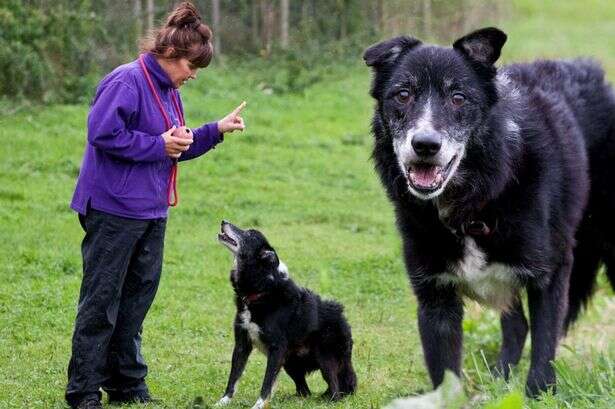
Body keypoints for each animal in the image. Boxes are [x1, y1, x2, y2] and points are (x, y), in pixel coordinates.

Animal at [214, 222, 356, 406]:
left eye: (249, 234)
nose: (223, 221)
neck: (262, 289)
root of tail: (344, 321)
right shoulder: (242, 344)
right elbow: (233, 378)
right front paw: (223, 402)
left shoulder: (277, 349)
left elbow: (267, 382)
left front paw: (259, 405)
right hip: (290, 362)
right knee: (305, 391)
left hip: (325, 358)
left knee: (336, 389)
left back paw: (327, 401)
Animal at [364, 27, 615, 396]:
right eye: (403, 94)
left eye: (458, 98)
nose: (425, 145)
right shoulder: (434, 294)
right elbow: (445, 371)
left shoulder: (552, 272)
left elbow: (545, 345)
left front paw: (538, 394)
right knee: (517, 324)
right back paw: (499, 377)